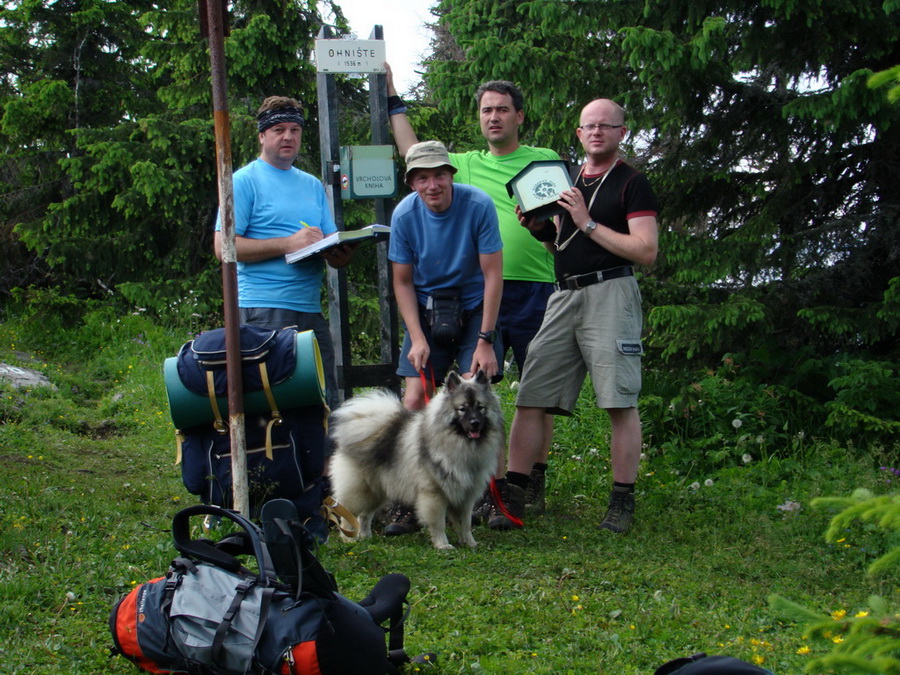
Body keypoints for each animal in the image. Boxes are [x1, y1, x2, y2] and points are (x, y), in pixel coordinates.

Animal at [326, 370, 502, 548]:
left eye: (480, 407)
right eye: (462, 409)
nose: (475, 423)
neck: (462, 445)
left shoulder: (465, 496)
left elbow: (465, 524)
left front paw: (470, 543)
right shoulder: (434, 494)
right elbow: (439, 523)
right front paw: (443, 545)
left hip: (377, 490)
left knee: (365, 515)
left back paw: (366, 537)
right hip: (360, 489)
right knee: (348, 513)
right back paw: (349, 539)